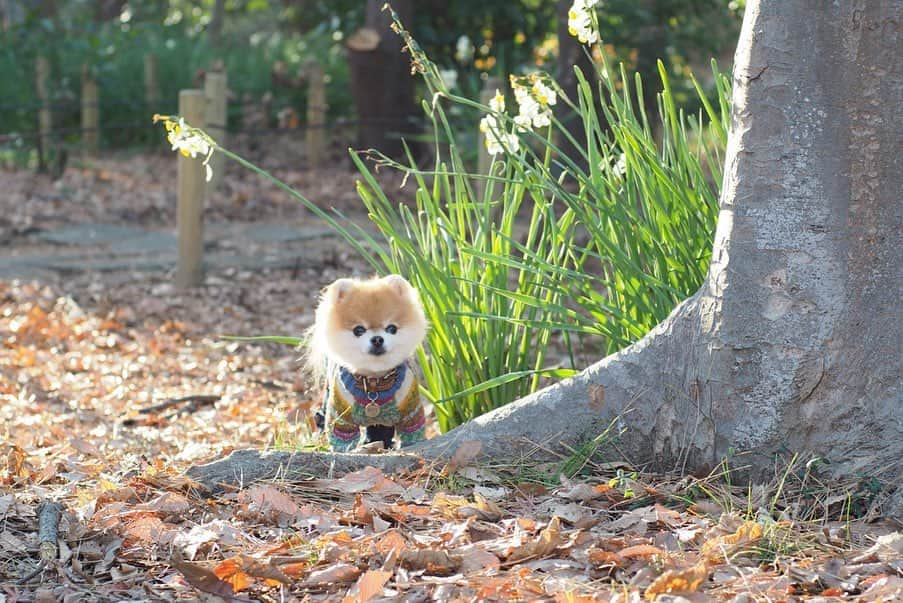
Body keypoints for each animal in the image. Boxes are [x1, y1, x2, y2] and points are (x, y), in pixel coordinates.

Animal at [308, 276, 430, 450]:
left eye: (391, 328)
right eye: (358, 330)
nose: (377, 339)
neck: (374, 382)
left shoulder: (410, 410)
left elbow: (412, 432)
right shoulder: (341, 416)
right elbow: (342, 439)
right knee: (321, 415)